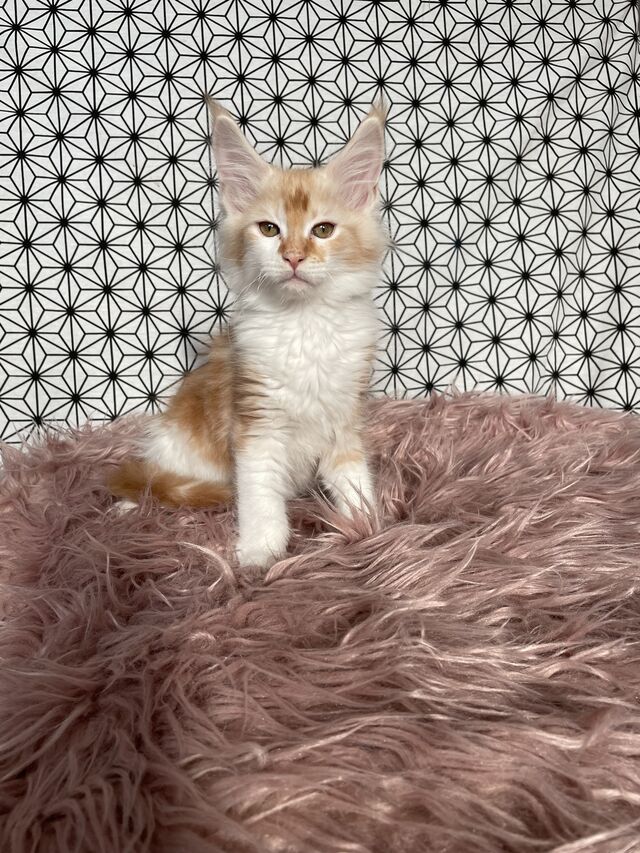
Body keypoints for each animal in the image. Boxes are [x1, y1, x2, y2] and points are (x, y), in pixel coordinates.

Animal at [109, 98, 387, 569]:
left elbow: (353, 477)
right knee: (156, 482)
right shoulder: (256, 421)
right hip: (178, 444)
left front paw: (367, 526)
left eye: (323, 230)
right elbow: (259, 494)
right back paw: (131, 505)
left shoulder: (344, 414)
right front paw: (260, 551)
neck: (304, 323)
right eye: (269, 229)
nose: (293, 257)